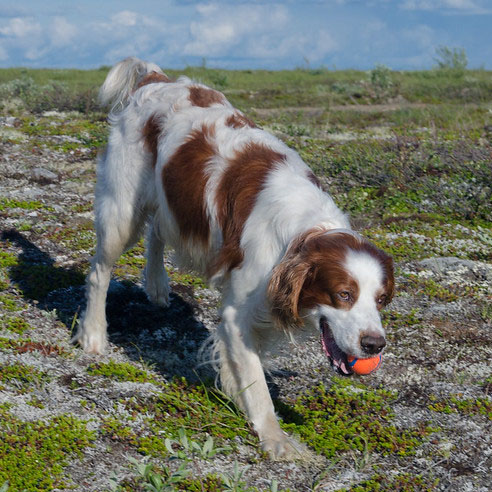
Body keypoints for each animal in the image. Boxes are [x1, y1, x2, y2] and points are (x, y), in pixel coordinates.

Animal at [74, 56, 396, 458]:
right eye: (344, 294)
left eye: (381, 299)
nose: (374, 344)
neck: (301, 231)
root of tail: (155, 77)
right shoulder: (238, 315)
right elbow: (257, 385)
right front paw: (276, 438)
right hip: (121, 210)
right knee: (99, 272)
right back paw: (93, 335)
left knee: (158, 230)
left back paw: (158, 286)